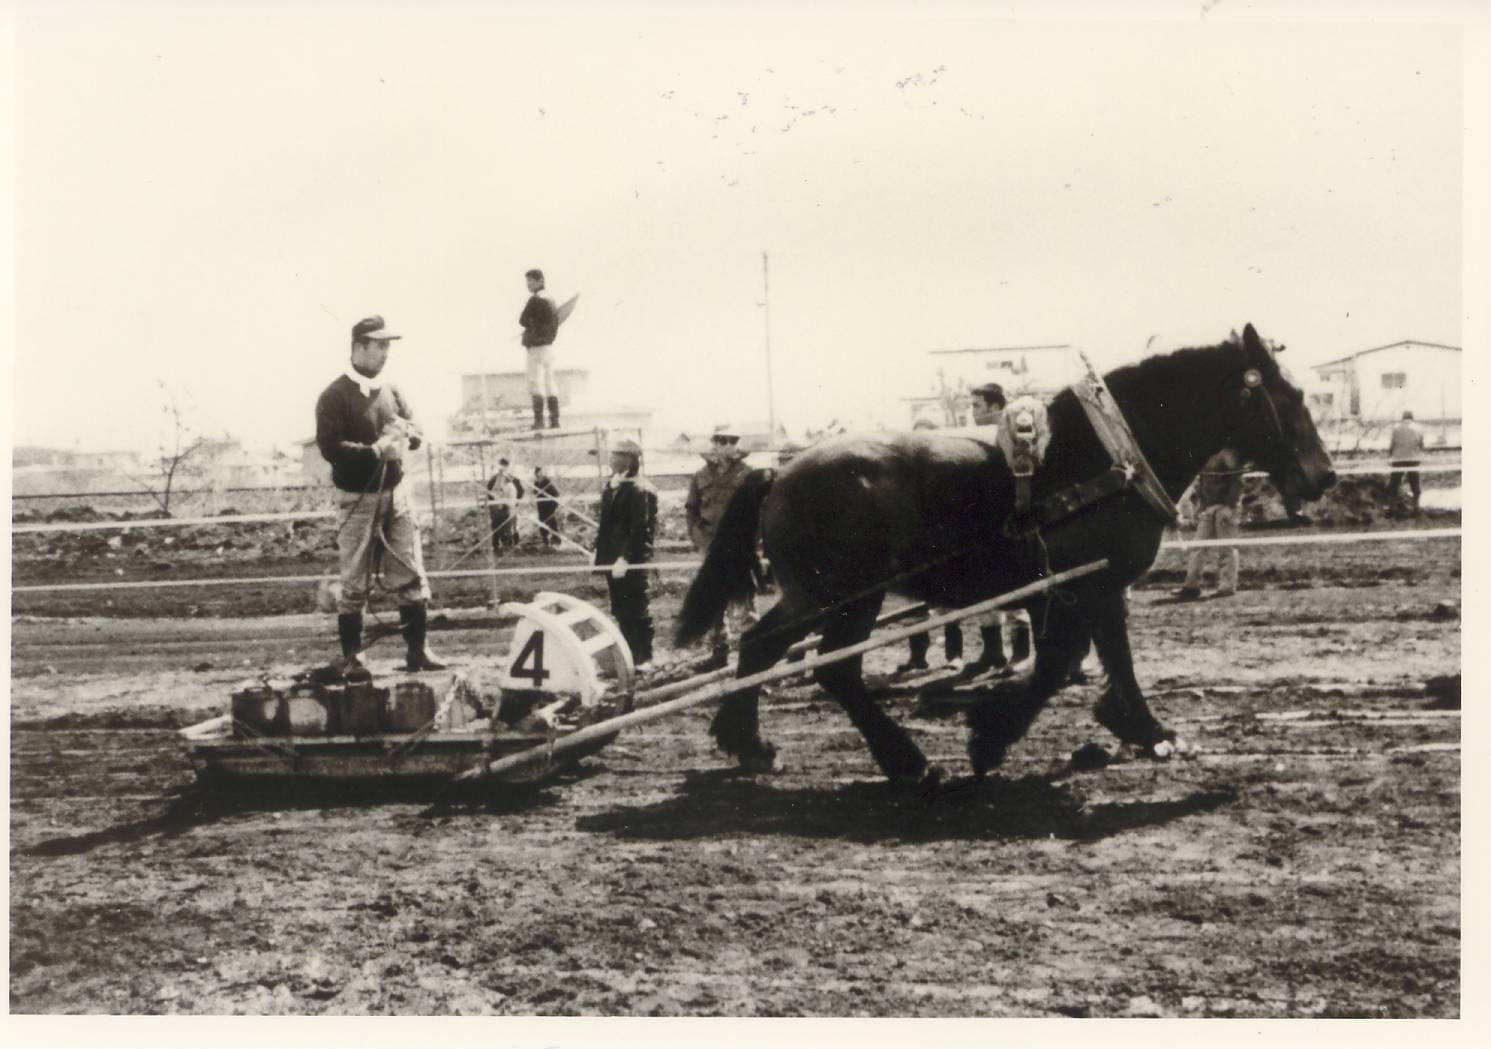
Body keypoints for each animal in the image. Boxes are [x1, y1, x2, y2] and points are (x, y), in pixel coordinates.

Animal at [679, 323, 1341, 780]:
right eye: (1290, 395)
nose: (1326, 475)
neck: (1108, 457)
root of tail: (777, 472)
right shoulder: (1080, 586)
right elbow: (1061, 662)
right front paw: (992, 737)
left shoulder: (1096, 584)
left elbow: (1107, 656)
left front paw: (1139, 726)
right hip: (846, 598)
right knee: (834, 669)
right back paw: (905, 760)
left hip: (810, 596)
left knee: (759, 645)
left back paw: (748, 743)